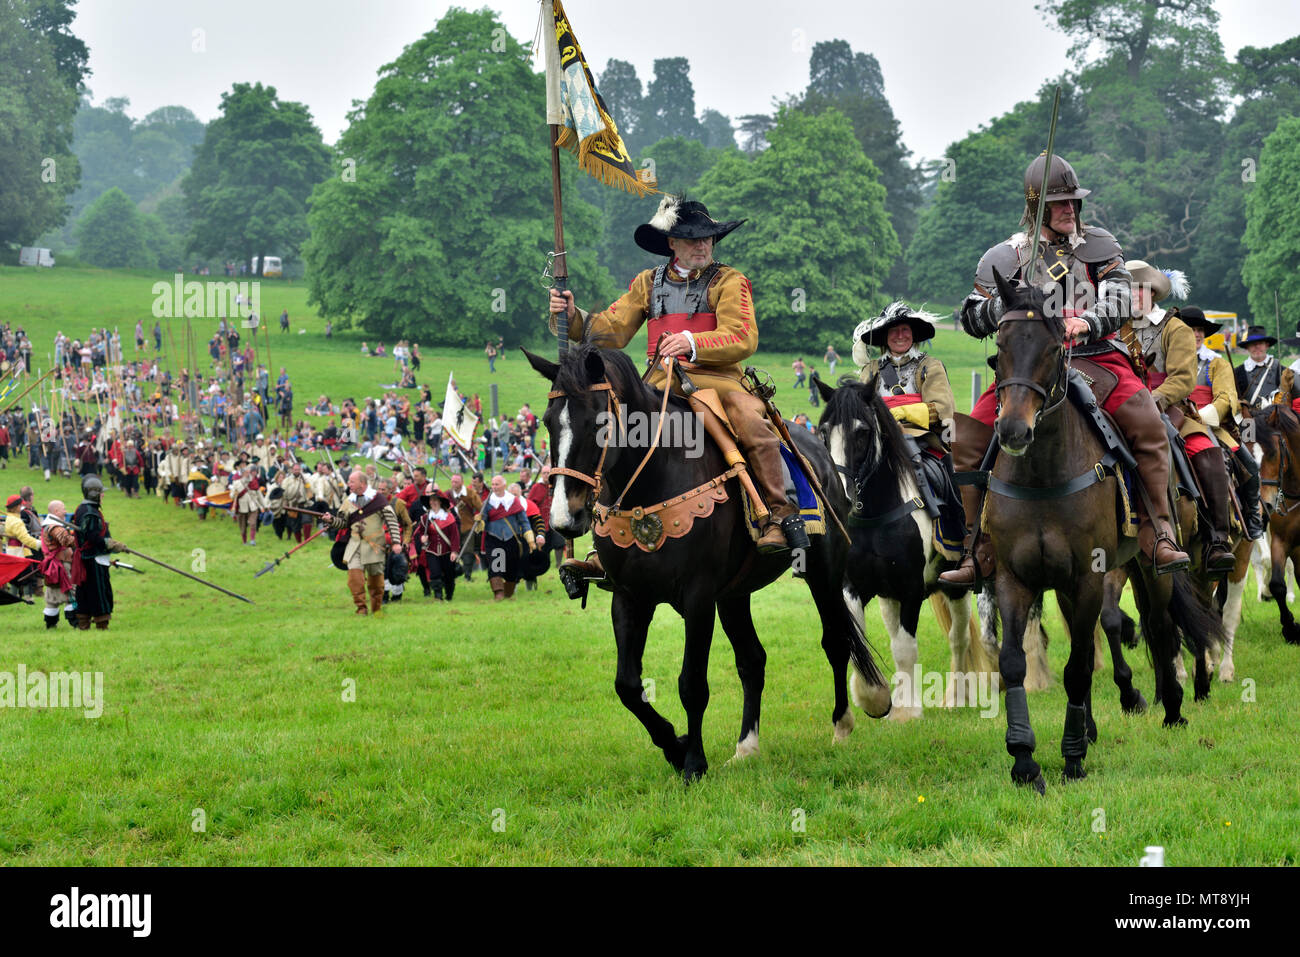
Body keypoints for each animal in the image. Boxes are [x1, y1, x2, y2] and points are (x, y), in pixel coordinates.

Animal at [520, 340, 894, 780]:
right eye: (547, 422)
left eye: (599, 421)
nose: (566, 517)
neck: (655, 476)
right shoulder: (630, 597)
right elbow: (627, 685)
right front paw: (675, 745)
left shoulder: (698, 599)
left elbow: (692, 683)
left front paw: (694, 762)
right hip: (734, 595)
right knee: (752, 660)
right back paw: (746, 746)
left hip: (823, 571)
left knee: (835, 640)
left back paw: (842, 726)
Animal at [982, 269, 1216, 790]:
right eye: (1001, 346)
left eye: (1052, 348)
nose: (1013, 432)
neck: (1043, 475)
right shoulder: (1013, 579)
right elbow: (1015, 662)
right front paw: (1024, 759)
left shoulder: (1089, 576)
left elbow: (1079, 665)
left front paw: (1071, 758)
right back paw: (1092, 725)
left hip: (1152, 565)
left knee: (1159, 625)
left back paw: (1172, 707)